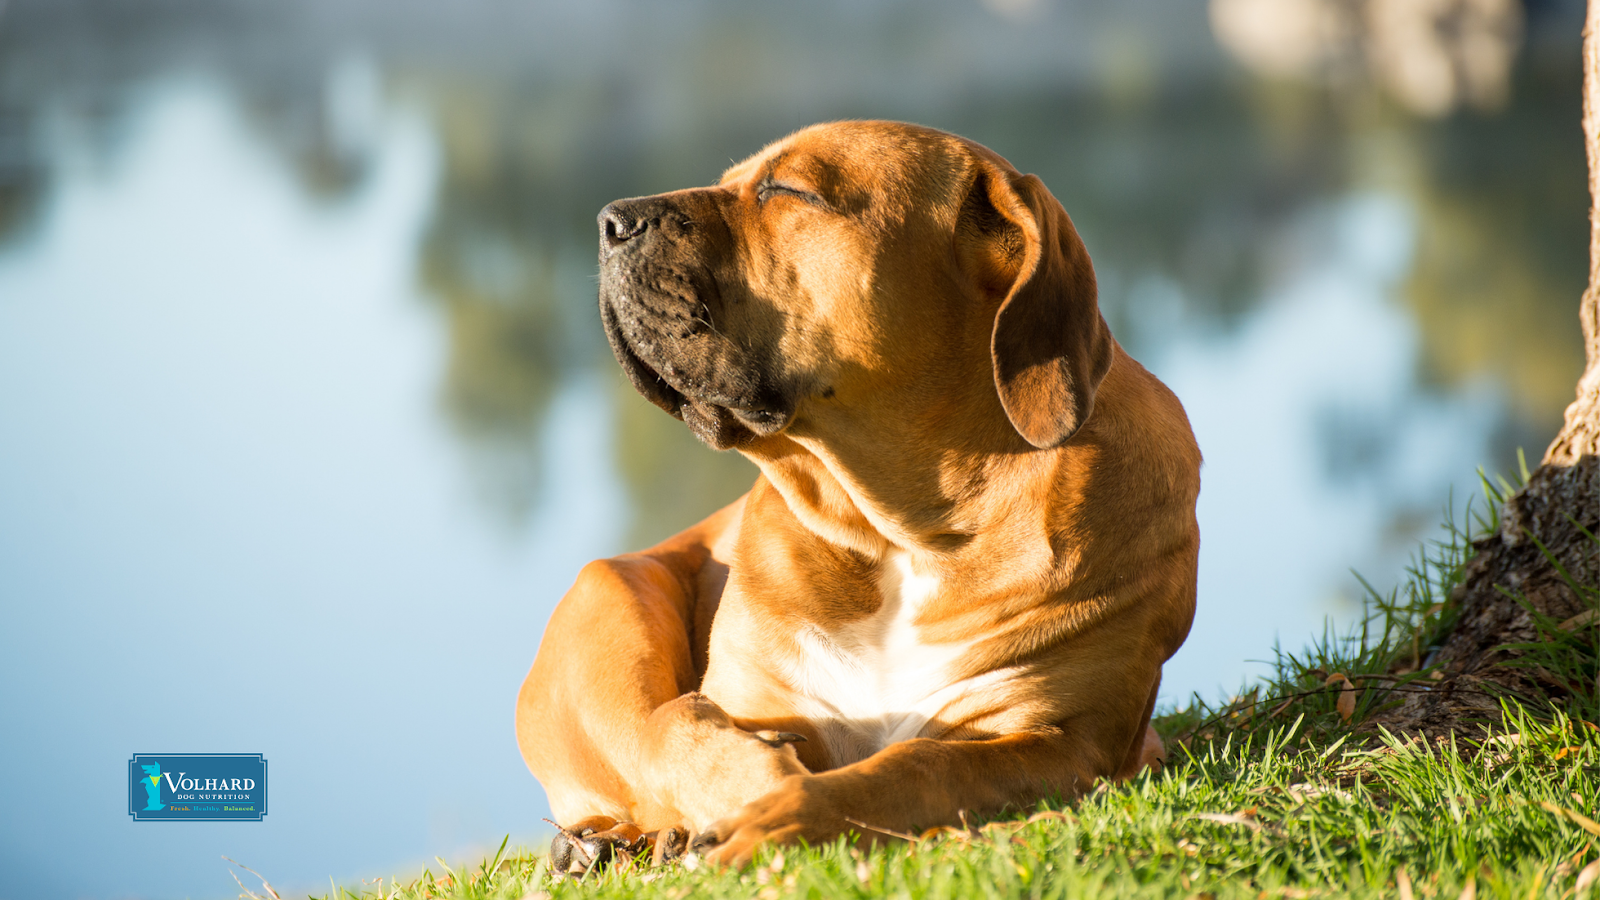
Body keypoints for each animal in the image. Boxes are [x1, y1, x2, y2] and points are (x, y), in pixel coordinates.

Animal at [515, 120, 1203, 871]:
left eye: (789, 190)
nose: (612, 220)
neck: (900, 534)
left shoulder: (1061, 739)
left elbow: (916, 767)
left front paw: (781, 813)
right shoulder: (751, 698)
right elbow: (677, 729)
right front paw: (747, 785)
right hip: (611, 595)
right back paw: (601, 842)